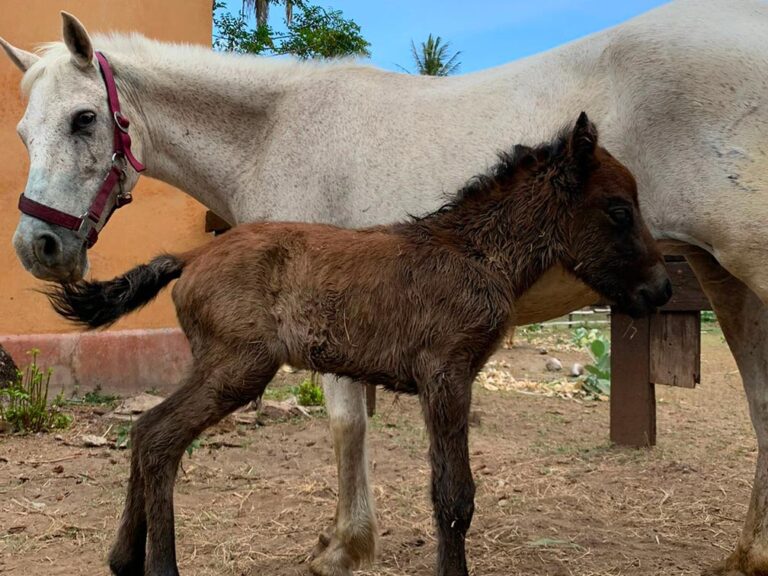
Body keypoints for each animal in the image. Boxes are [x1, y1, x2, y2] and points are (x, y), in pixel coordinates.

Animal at [49, 112, 672, 576]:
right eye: (620, 210)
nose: (661, 289)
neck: (474, 253)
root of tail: (194, 255)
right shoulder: (446, 375)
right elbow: (454, 496)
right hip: (238, 366)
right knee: (158, 438)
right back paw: (158, 565)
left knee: (142, 431)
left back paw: (122, 559)